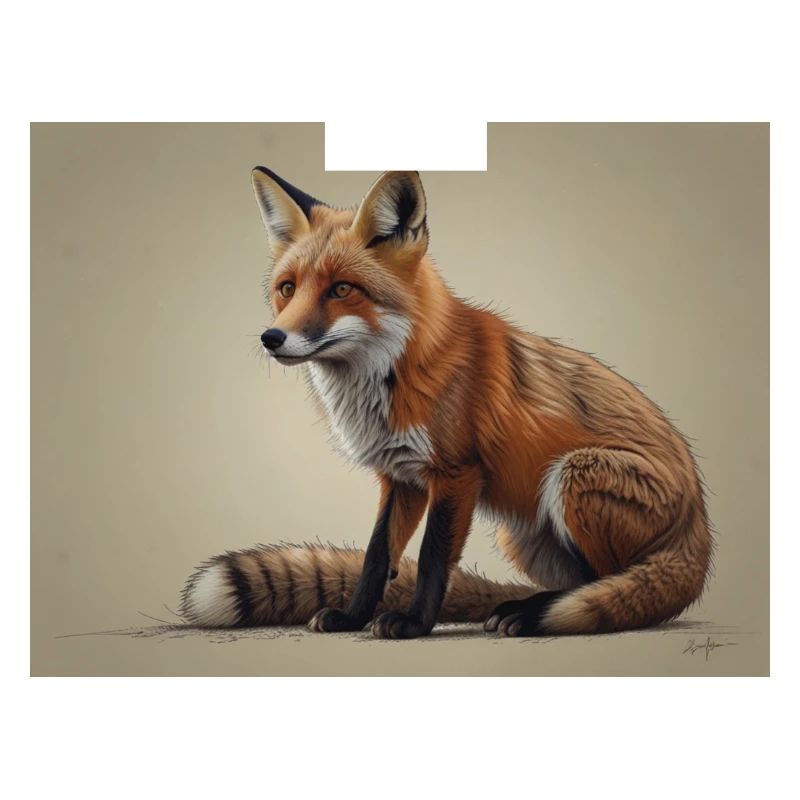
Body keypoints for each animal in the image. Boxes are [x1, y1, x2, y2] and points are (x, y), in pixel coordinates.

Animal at [179, 167, 713, 639]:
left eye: (342, 289)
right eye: (287, 289)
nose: (272, 338)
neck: (397, 374)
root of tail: (699, 526)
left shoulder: (458, 473)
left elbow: (435, 558)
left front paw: (413, 625)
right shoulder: (400, 477)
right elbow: (377, 557)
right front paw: (353, 618)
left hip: (572, 474)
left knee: (613, 587)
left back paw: (530, 615)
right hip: (521, 531)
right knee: (584, 584)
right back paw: (520, 606)